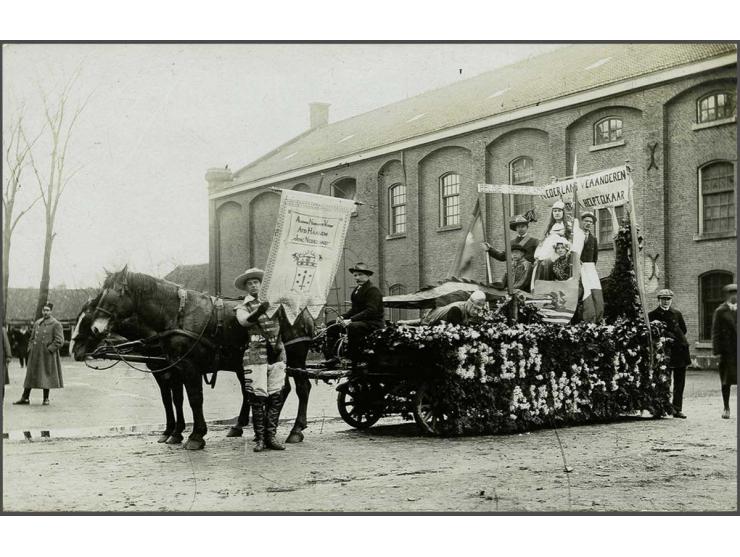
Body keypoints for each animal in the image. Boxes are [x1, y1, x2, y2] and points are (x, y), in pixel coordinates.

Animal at [84, 264, 316, 448]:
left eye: (115, 293)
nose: (96, 328)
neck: (178, 314)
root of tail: (303, 311)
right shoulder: (175, 368)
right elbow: (179, 399)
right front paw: (178, 433)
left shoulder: (187, 367)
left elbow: (194, 398)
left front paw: (195, 436)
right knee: (279, 390)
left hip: (294, 356)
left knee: (302, 388)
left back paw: (295, 431)